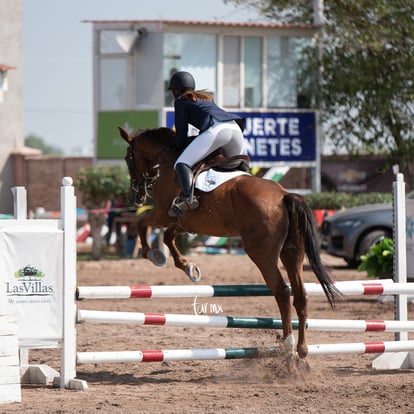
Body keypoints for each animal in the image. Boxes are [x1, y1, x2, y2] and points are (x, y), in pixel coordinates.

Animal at [117, 125, 340, 362]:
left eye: (128, 158)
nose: (135, 197)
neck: (167, 156)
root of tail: (284, 196)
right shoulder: (184, 221)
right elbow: (168, 236)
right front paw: (188, 267)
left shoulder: (161, 213)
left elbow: (142, 224)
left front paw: (154, 255)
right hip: (292, 253)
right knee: (300, 295)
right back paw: (302, 350)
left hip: (261, 254)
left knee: (281, 291)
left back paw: (288, 346)